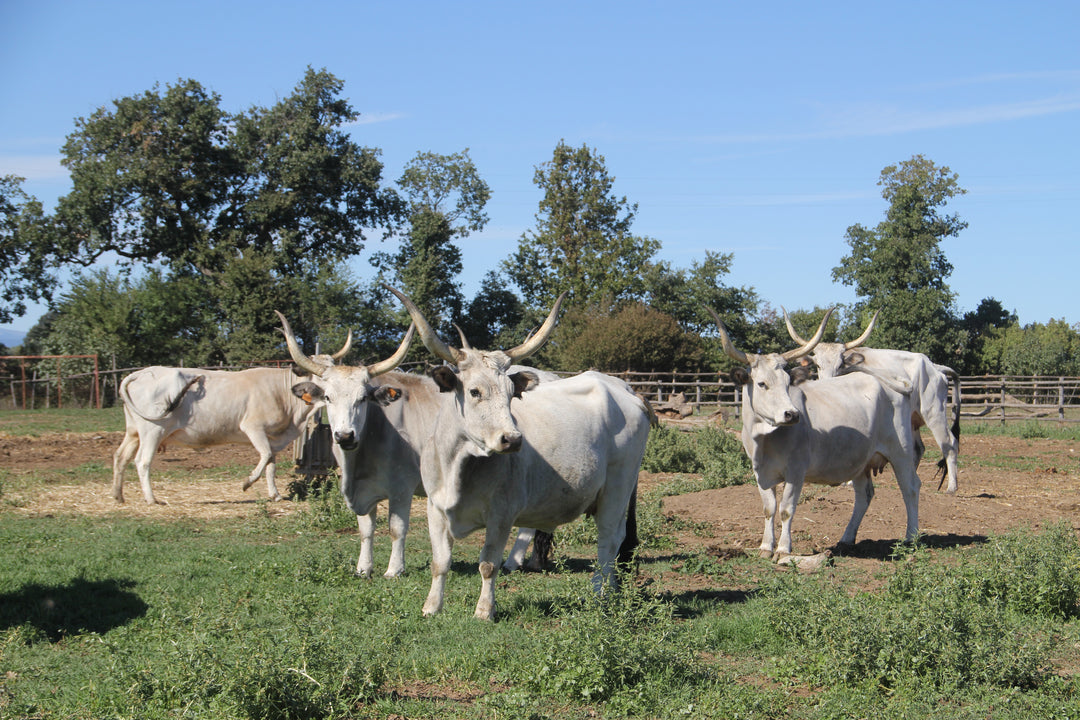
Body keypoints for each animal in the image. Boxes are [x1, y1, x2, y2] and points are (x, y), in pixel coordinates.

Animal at [712, 308, 924, 557]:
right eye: (762, 383)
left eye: (788, 382)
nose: (792, 414)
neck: (765, 440)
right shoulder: (759, 472)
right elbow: (768, 508)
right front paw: (765, 546)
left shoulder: (796, 471)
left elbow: (786, 509)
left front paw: (783, 548)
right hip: (861, 460)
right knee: (864, 495)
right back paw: (846, 538)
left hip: (901, 451)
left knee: (910, 487)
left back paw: (911, 537)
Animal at [786, 306, 963, 492]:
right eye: (818, 365)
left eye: (840, 364)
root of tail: (935, 367)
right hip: (912, 420)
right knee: (917, 449)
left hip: (934, 414)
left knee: (950, 443)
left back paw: (952, 486)